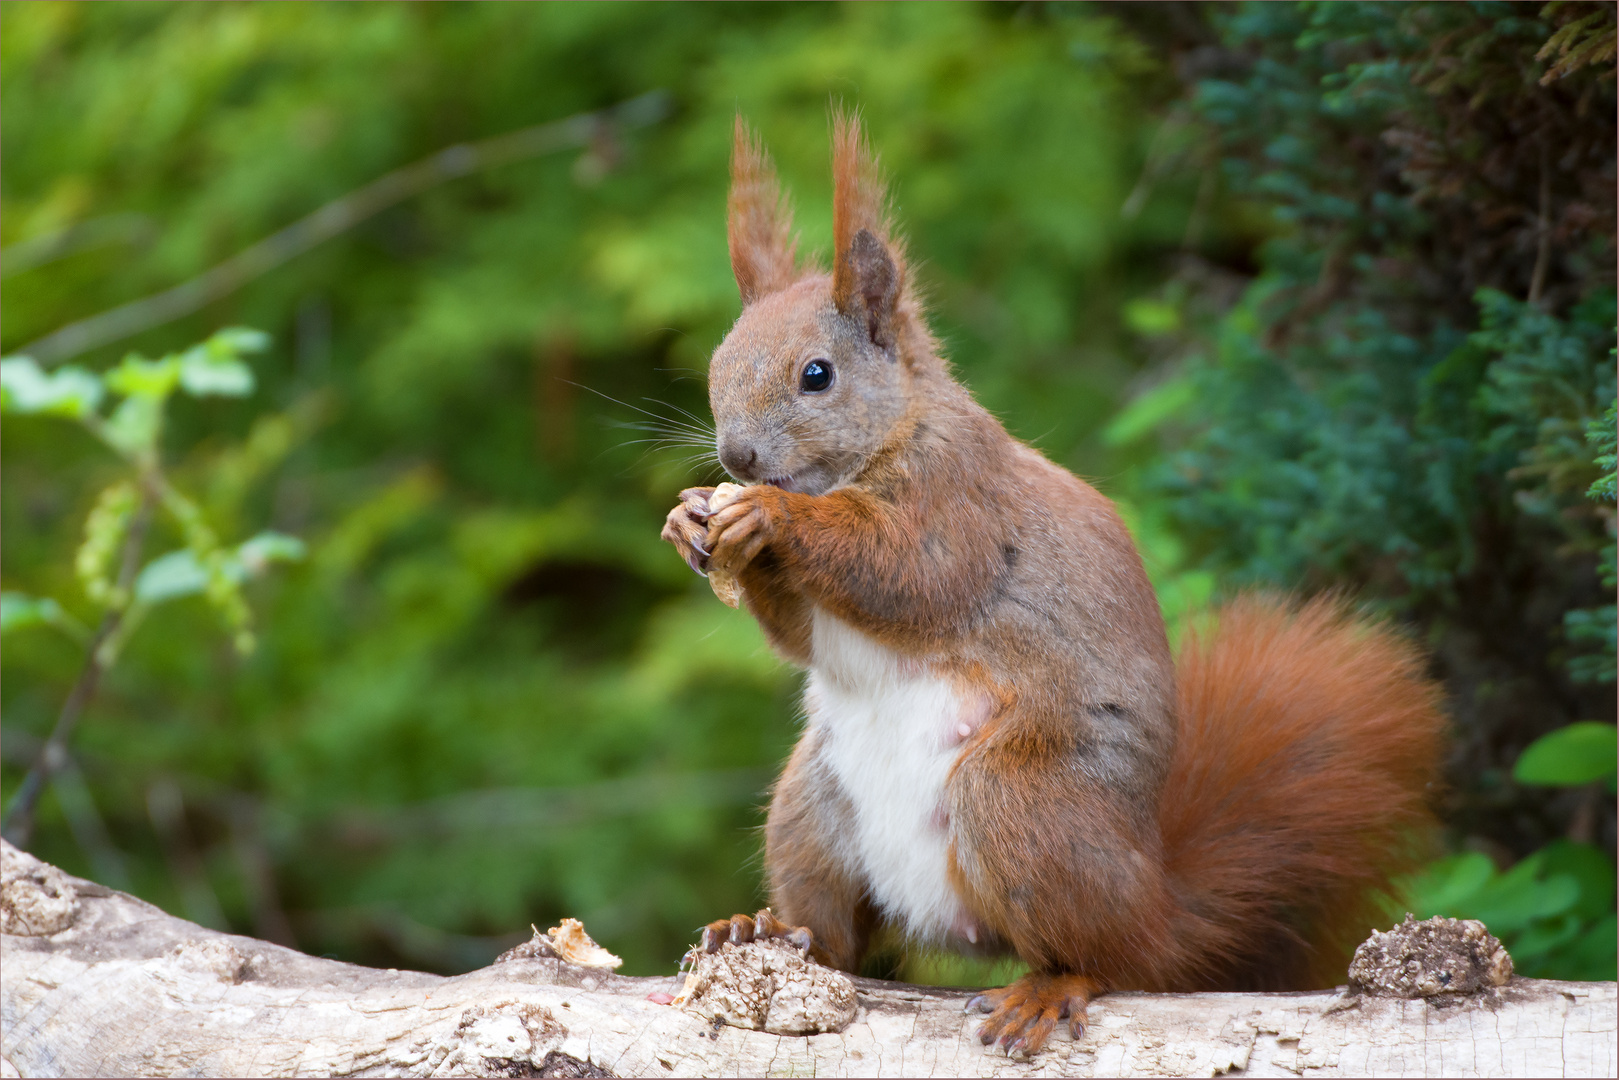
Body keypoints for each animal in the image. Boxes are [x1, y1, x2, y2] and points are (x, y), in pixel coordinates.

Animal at [657, 118, 1444, 1055]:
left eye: (818, 374)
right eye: (717, 363)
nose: (736, 458)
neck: (885, 441)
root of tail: (1153, 901)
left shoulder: (961, 502)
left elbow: (908, 574)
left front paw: (770, 516)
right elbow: (801, 636)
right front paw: (689, 520)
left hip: (1021, 798)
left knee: (1102, 959)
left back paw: (1048, 985)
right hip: (810, 808)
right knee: (845, 939)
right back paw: (769, 930)